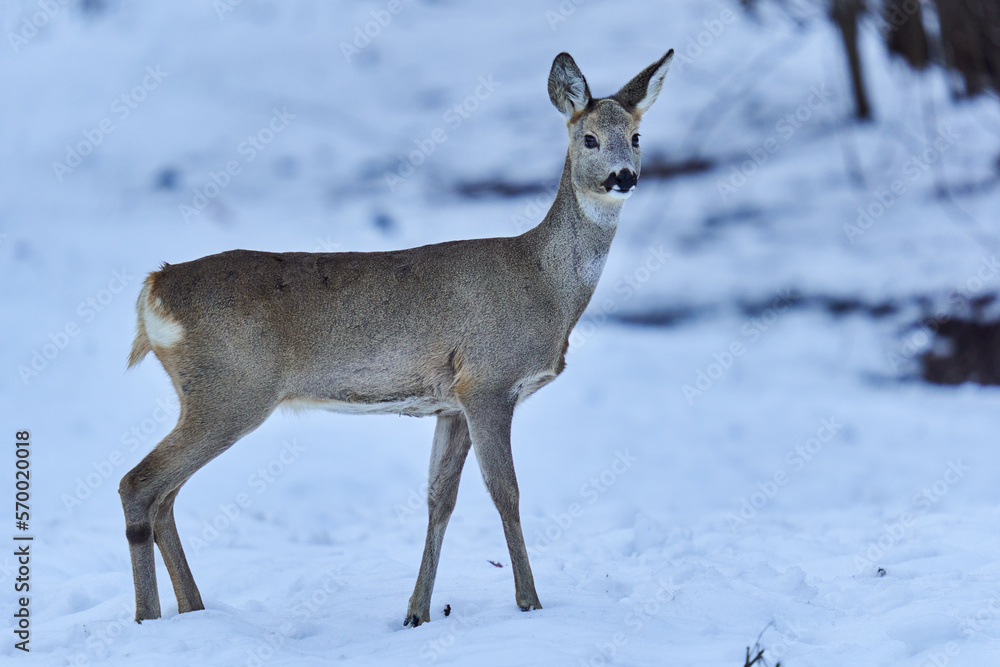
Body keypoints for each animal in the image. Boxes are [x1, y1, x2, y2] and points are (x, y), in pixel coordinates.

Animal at [120, 48, 674, 626]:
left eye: (637, 135)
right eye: (588, 138)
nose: (623, 177)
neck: (545, 283)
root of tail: (154, 287)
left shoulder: (451, 403)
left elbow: (439, 498)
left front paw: (416, 613)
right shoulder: (489, 381)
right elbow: (507, 493)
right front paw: (530, 603)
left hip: (209, 394)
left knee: (164, 496)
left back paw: (194, 611)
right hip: (230, 390)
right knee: (139, 483)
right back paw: (148, 618)